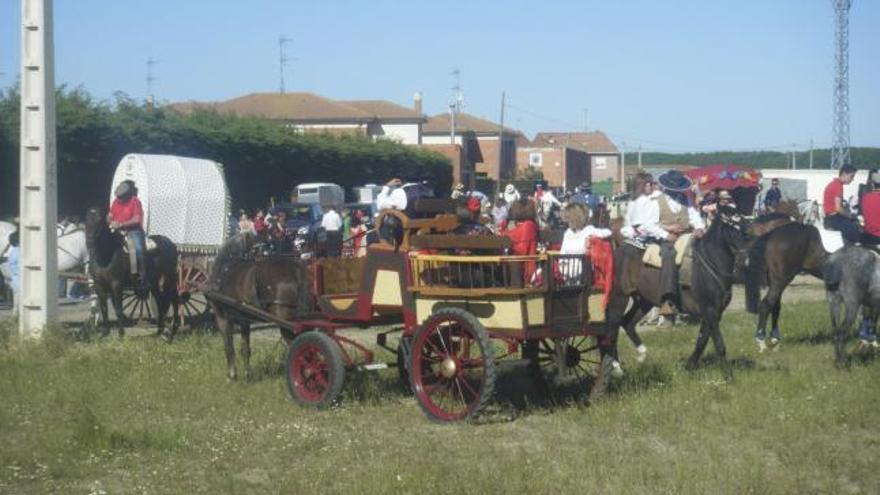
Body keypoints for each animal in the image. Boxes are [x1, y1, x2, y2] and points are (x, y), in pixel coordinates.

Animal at [83, 206, 180, 340]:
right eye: (86, 221)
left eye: (99, 222)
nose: (89, 242)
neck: (106, 256)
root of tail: (170, 244)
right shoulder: (99, 285)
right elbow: (104, 308)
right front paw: (104, 333)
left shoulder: (116, 284)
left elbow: (118, 308)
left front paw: (121, 334)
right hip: (154, 282)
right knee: (161, 301)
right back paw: (159, 331)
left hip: (169, 277)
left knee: (173, 299)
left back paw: (172, 331)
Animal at [209, 232, 312, 380]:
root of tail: (295, 269)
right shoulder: (244, 319)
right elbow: (245, 348)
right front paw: (248, 374)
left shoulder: (222, 316)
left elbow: (228, 346)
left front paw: (232, 374)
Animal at [604, 204, 748, 376]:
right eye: (731, 229)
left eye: (745, 228)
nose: (745, 261)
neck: (709, 264)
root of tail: (616, 253)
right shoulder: (710, 310)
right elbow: (719, 344)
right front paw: (729, 375)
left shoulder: (715, 312)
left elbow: (702, 340)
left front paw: (689, 366)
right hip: (619, 298)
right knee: (612, 330)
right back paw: (616, 367)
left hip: (644, 301)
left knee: (627, 323)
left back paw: (641, 355)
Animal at [744, 221, 828, 352]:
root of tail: (771, 234)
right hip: (782, 280)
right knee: (766, 304)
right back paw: (761, 341)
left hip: (776, 281)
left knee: (775, 305)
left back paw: (775, 339)